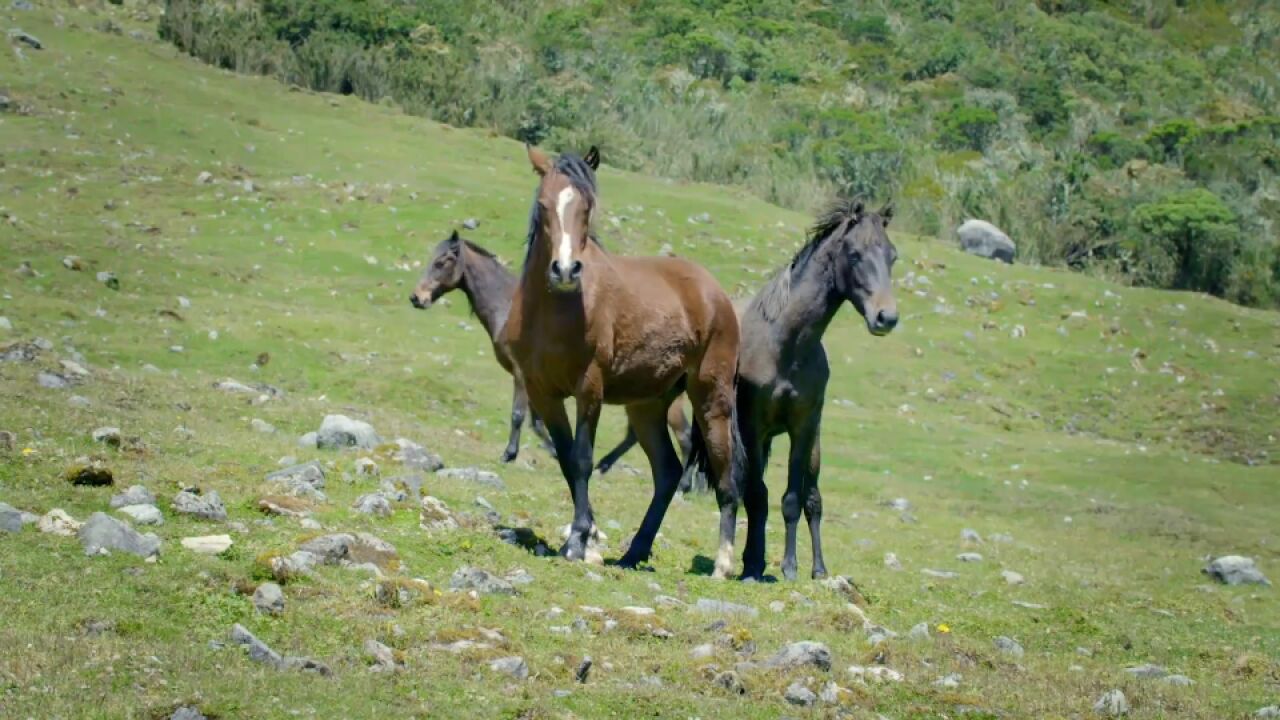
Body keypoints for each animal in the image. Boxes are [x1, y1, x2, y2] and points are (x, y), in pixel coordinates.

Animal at [496, 146, 742, 576]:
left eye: (587, 207)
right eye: (543, 205)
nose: (565, 269)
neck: (556, 310)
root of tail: (715, 293)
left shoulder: (589, 389)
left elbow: (581, 460)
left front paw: (579, 542)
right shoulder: (544, 394)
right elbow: (564, 459)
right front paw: (588, 540)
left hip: (711, 398)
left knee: (724, 472)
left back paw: (723, 564)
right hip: (647, 406)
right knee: (667, 473)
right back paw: (635, 553)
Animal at [732, 198, 901, 579]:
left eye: (892, 255)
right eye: (854, 254)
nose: (886, 318)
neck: (785, 345)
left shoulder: (804, 427)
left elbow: (794, 499)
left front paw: (792, 567)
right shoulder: (752, 426)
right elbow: (757, 495)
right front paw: (753, 564)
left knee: (813, 498)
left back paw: (818, 568)